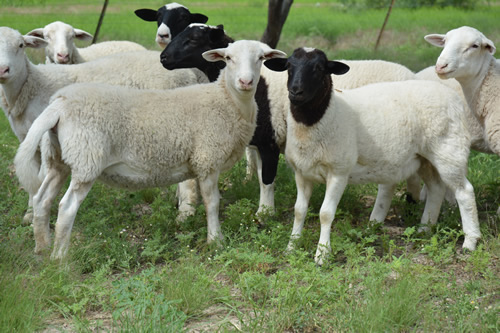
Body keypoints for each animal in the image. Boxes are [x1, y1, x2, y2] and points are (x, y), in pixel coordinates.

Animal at [0, 26, 208, 223]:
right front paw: (29, 214)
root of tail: (190, 72)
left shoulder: (44, 139)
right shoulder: (28, 139)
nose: (3, 70)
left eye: (21, 45)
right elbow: (32, 179)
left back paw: (185, 212)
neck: (32, 86)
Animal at [13, 39, 288, 260]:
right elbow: (213, 203)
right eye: (228, 58)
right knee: (66, 207)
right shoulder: (207, 159)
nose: (246, 81)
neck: (227, 100)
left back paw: (42, 248)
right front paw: (216, 240)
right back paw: (60, 257)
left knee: (42, 199)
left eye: (261, 58)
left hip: (56, 158)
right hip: (86, 159)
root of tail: (59, 104)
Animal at [161, 24, 422, 215]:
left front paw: (265, 213)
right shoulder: (260, 141)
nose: (163, 58)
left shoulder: (269, 139)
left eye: (194, 39)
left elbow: (267, 179)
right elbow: (260, 177)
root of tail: (414, 75)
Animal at [266, 47, 480, 264]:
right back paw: (424, 229)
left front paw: (322, 255)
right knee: (436, 189)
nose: (295, 91)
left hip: (449, 151)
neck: (324, 116)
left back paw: (470, 242)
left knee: (464, 192)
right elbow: (299, 211)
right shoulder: (302, 173)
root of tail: (452, 97)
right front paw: (291, 247)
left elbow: (325, 213)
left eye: (319, 68)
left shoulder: (339, 171)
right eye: (288, 66)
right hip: (425, 158)